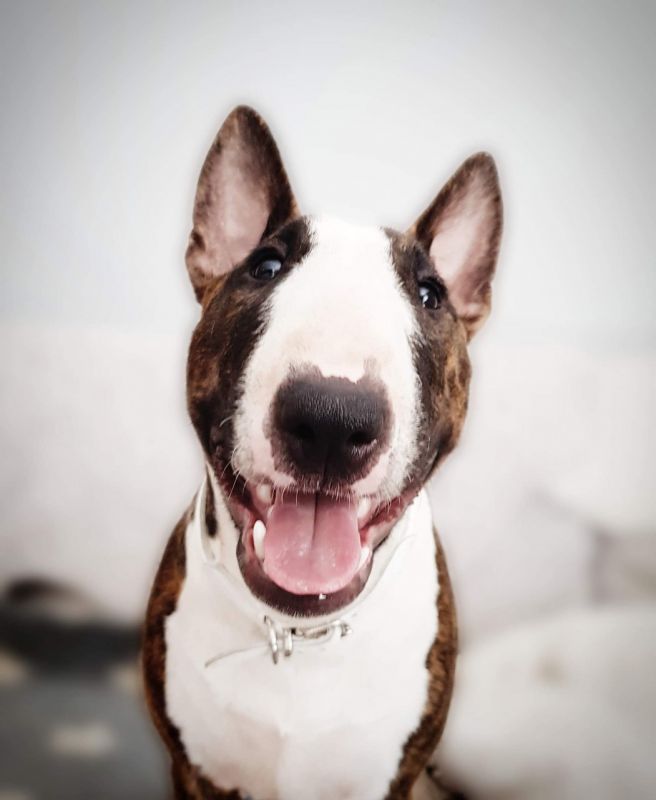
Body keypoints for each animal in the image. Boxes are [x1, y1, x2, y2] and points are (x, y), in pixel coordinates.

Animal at [142, 105, 502, 800]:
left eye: (430, 295)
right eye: (265, 267)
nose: (333, 418)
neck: (298, 636)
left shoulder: (392, 780)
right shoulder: (190, 771)